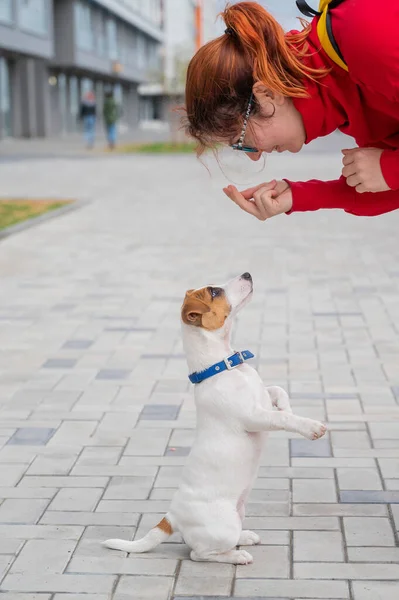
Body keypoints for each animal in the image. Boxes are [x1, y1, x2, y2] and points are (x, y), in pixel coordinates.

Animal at [104, 274, 328, 564]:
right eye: (214, 291)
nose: (247, 274)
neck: (223, 366)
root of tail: (171, 517)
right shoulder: (253, 416)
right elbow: (281, 420)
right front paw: (310, 427)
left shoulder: (264, 397)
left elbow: (279, 392)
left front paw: (288, 408)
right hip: (223, 526)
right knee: (199, 554)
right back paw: (238, 555)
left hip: (238, 511)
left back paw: (246, 537)